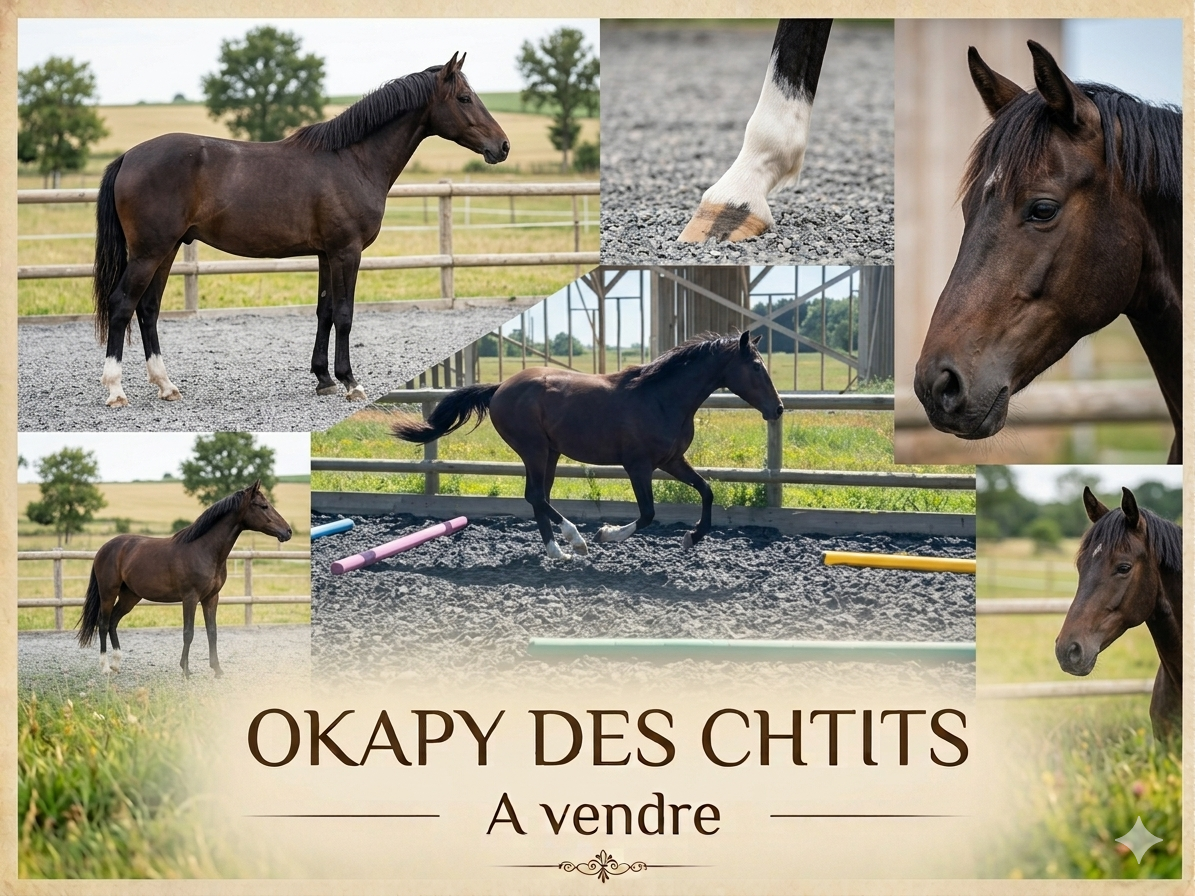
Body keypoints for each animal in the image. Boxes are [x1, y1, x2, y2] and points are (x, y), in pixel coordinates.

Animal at [76, 481, 292, 677]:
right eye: (263, 506)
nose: (288, 531)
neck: (204, 549)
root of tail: (105, 548)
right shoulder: (190, 598)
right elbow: (188, 633)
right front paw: (186, 670)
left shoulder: (211, 598)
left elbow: (212, 632)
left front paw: (217, 669)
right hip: (108, 592)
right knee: (103, 623)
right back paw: (105, 667)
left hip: (130, 596)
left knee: (113, 621)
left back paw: (116, 664)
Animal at [92, 52, 509, 409]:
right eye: (465, 98)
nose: (502, 146)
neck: (352, 160)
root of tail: (128, 156)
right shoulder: (346, 251)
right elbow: (345, 313)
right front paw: (350, 382)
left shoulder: (326, 253)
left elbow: (324, 311)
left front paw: (323, 379)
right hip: (149, 252)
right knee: (122, 304)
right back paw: (115, 390)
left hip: (166, 250)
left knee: (147, 309)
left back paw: (166, 386)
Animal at [392, 332, 783, 558]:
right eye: (756, 367)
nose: (778, 408)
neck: (661, 397)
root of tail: (500, 387)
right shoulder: (638, 466)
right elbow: (647, 514)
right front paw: (606, 535)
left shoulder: (671, 460)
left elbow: (707, 491)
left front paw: (692, 538)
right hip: (534, 449)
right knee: (536, 496)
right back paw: (575, 541)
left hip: (549, 452)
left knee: (538, 497)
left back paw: (557, 552)